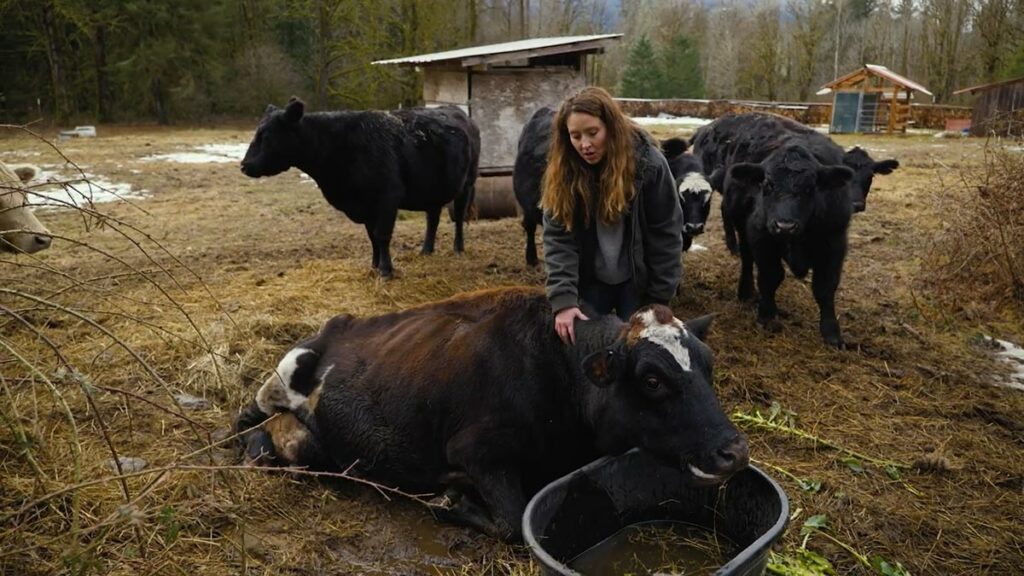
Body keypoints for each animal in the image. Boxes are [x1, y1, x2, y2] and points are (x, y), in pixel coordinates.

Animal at [235, 284, 749, 541]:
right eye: (652, 380)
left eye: (709, 364)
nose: (735, 451)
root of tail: (338, 323)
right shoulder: (477, 453)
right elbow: (515, 524)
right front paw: (451, 500)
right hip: (279, 376)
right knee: (243, 423)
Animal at [241, 97, 481, 276]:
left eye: (266, 135)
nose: (244, 165)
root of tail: (457, 111)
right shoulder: (364, 205)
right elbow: (372, 236)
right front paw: (373, 267)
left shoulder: (387, 198)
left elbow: (382, 235)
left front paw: (386, 271)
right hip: (433, 188)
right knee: (433, 218)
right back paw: (426, 251)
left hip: (466, 184)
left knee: (459, 217)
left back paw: (458, 248)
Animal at [720, 142, 856, 344]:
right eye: (767, 184)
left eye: (810, 188)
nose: (785, 226)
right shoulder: (760, 236)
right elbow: (770, 277)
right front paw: (767, 315)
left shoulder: (834, 243)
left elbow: (825, 287)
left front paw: (831, 332)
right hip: (740, 226)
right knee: (746, 260)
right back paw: (746, 292)